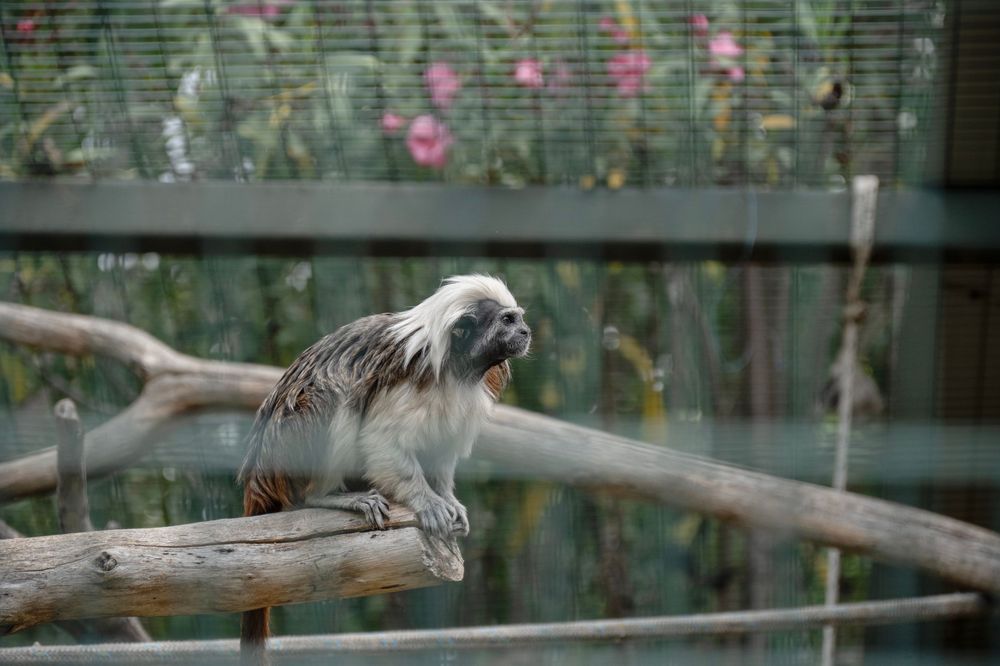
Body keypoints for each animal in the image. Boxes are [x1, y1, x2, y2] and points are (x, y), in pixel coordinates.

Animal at [237, 274, 530, 665]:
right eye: (507, 321)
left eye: (519, 318)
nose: (526, 331)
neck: (455, 366)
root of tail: (259, 477)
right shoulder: (405, 383)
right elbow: (380, 442)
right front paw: (428, 502)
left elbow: (441, 454)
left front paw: (449, 501)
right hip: (290, 445)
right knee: (335, 394)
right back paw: (329, 496)